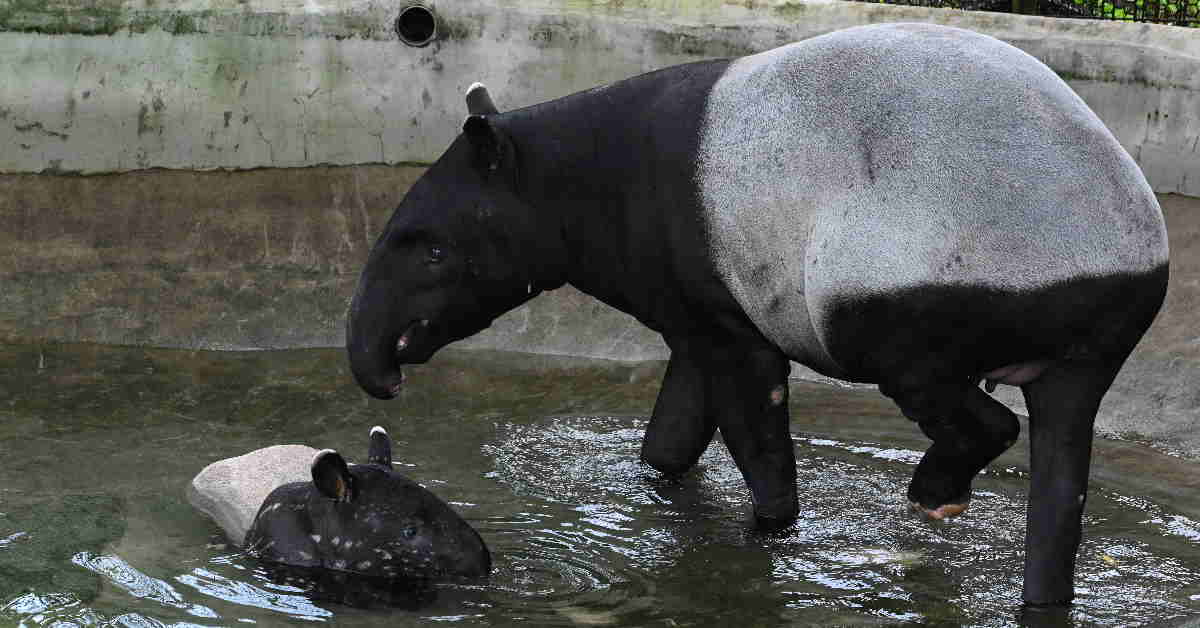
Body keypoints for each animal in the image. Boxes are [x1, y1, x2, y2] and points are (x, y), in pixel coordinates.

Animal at [343, 22, 1166, 607]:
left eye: (434, 253)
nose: (381, 377)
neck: (580, 176)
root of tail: (1118, 263)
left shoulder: (728, 311)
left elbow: (753, 429)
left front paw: (765, 532)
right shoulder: (697, 304)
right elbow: (674, 432)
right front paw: (664, 488)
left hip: (910, 293)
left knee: (969, 411)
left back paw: (935, 496)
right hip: (1084, 350)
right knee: (1060, 484)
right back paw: (1040, 588)